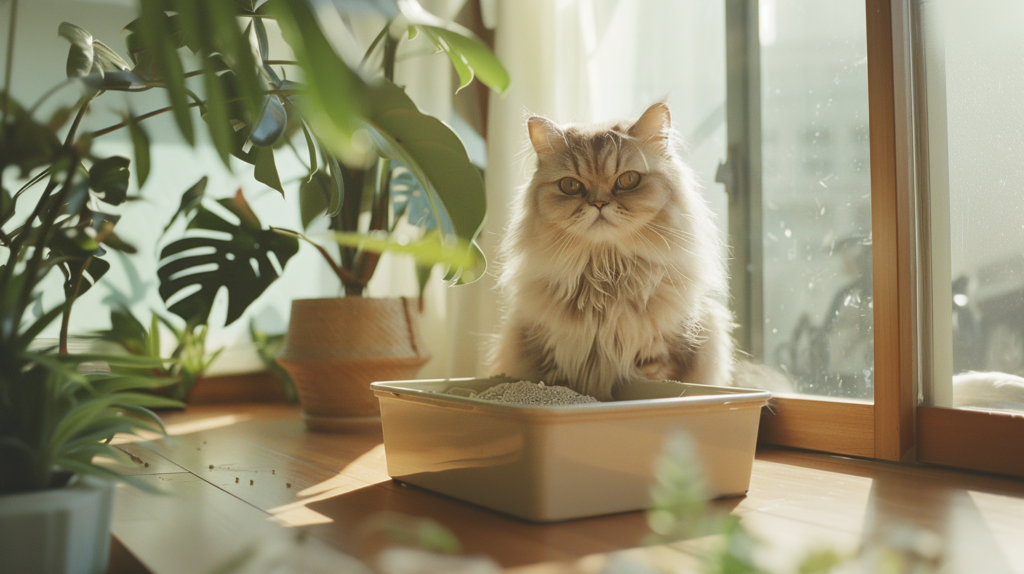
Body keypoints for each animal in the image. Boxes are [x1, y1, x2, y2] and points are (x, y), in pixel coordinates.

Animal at [487, 102, 737, 399]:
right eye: (570, 186)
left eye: (628, 180)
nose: (598, 203)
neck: (606, 274)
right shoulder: (551, 353)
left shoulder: (662, 355)